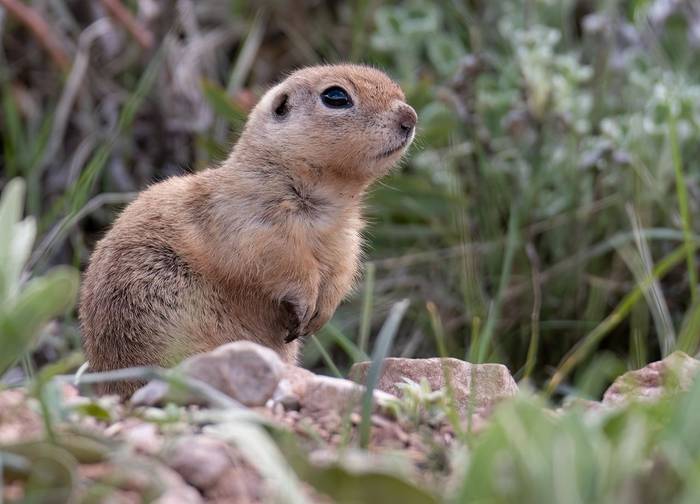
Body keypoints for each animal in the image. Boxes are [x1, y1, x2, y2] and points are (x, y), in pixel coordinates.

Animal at [79, 64, 417, 396]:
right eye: (335, 96)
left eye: (396, 88)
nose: (410, 117)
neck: (328, 202)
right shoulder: (252, 224)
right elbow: (281, 263)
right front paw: (305, 302)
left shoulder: (345, 240)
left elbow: (339, 274)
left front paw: (322, 313)